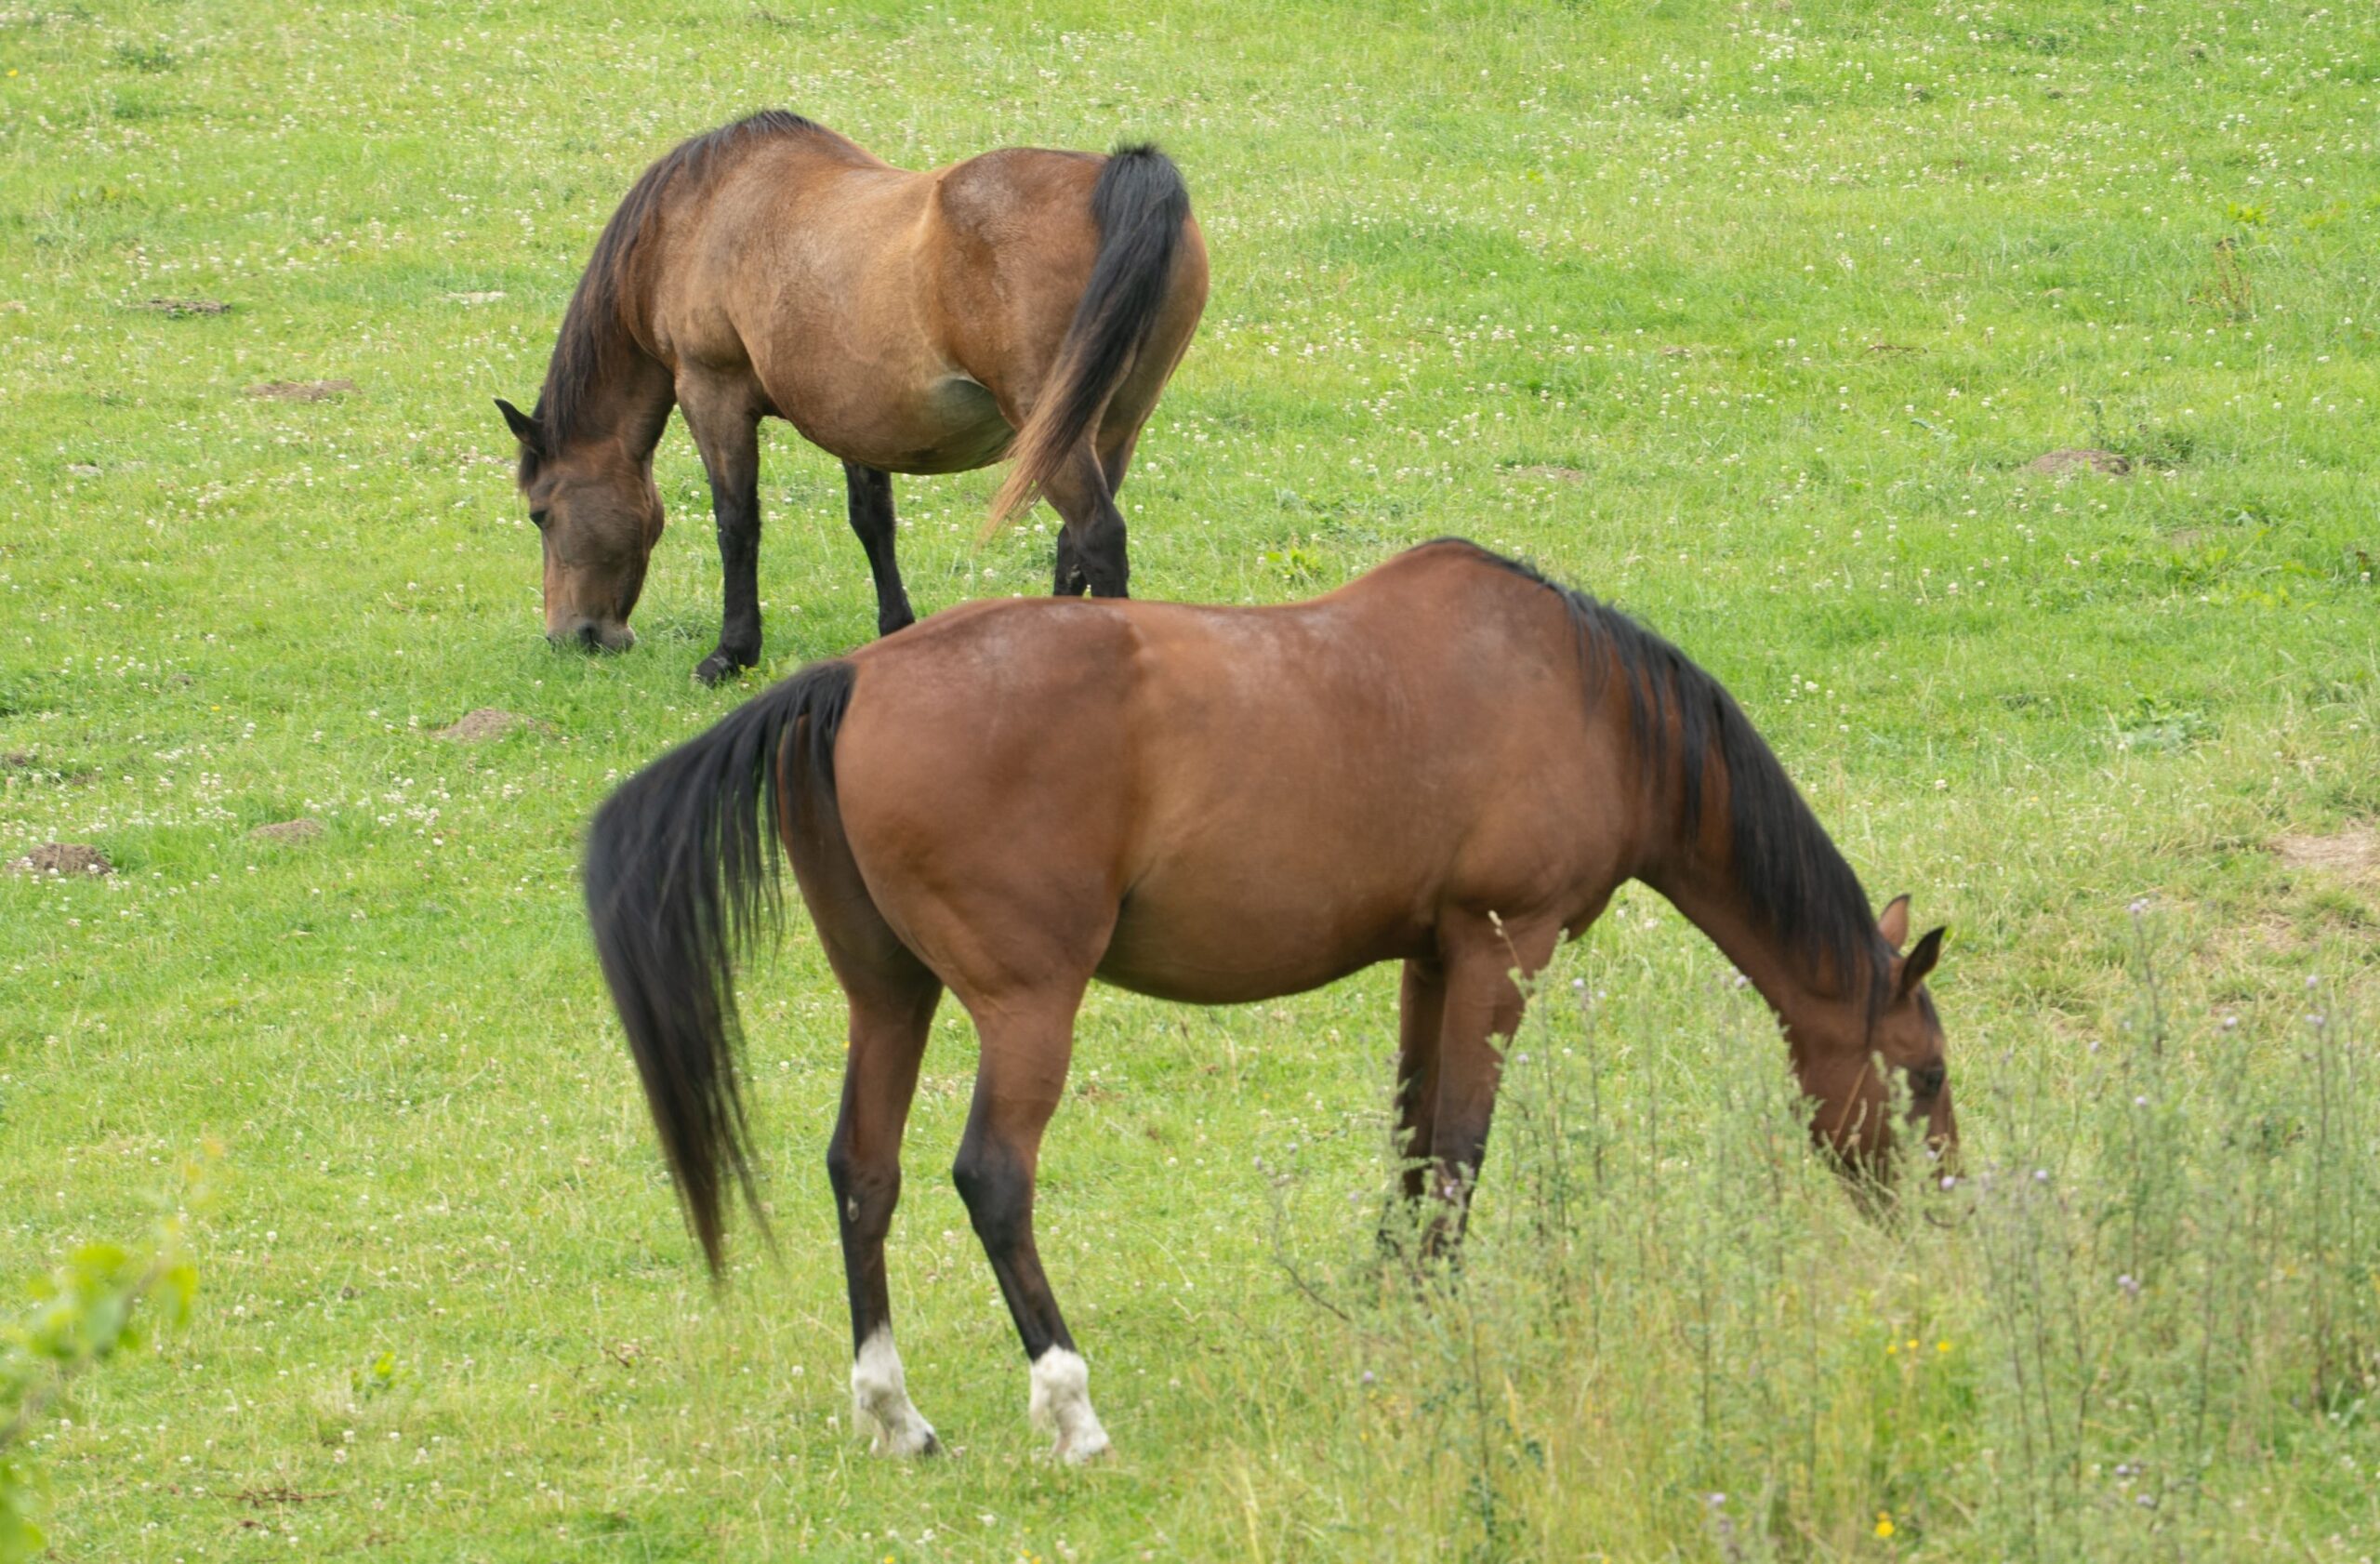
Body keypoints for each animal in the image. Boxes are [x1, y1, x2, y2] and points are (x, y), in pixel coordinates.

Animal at [494, 111, 1208, 684]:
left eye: (539, 513)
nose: (572, 637)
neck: (697, 214)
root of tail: (1118, 179)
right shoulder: (856, 416)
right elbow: (873, 522)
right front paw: (896, 630)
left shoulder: (711, 393)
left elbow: (737, 524)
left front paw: (731, 654)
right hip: (1112, 426)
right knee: (1073, 543)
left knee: (1097, 537)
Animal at [582, 537, 1956, 1462]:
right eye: (1927, 1072)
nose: (1942, 1213)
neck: (1587, 700)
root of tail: (854, 677)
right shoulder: (1500, 948)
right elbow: (1461, 1147)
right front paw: (1433, 1316)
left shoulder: (1428, 958)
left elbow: (1414, 1138)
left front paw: (1392, 1296)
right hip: (1027, 1006)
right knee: (991, 1176)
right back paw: (1071, 1407)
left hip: (891, 997)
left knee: (865, 1171)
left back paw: (893, 1411)